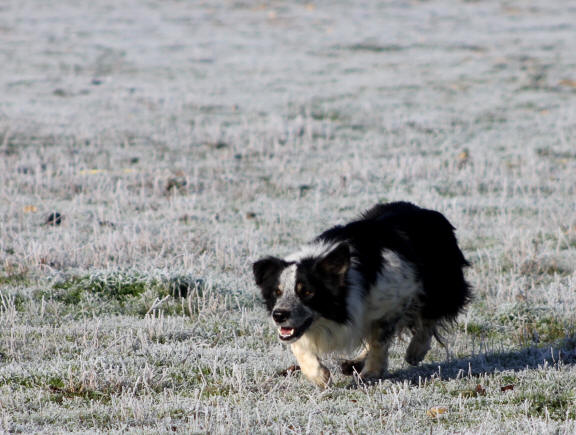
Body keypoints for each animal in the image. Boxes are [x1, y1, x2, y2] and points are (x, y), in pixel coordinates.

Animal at [254, 203, 470, 390]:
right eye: (277, 292)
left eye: (308, 292)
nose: (278, 315)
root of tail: (428, 212)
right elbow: (298, 344)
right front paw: (319, 376)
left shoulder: (395, 299)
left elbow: (380, 340)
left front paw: (372, 373)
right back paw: (353, 363)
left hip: (440, 284)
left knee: (429, 316)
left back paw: (415, 351)